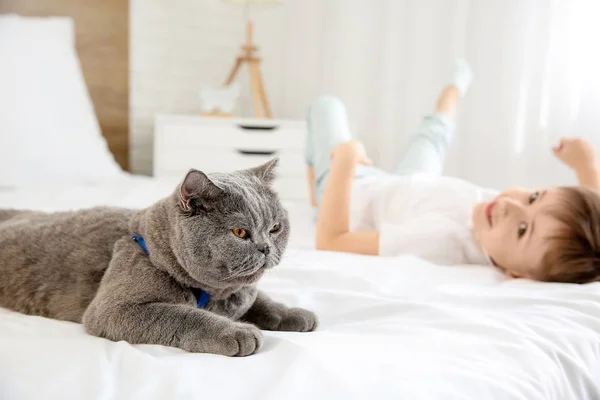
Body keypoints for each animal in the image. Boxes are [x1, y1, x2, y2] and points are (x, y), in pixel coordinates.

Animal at [0, 159, 318, 356]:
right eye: (240, 232)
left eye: (275, 227)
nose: (265, 248)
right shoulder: (111, 310)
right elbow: (183, 315)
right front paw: (237, 331)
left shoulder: (244, 293)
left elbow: (262, 301)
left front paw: (295, 314)